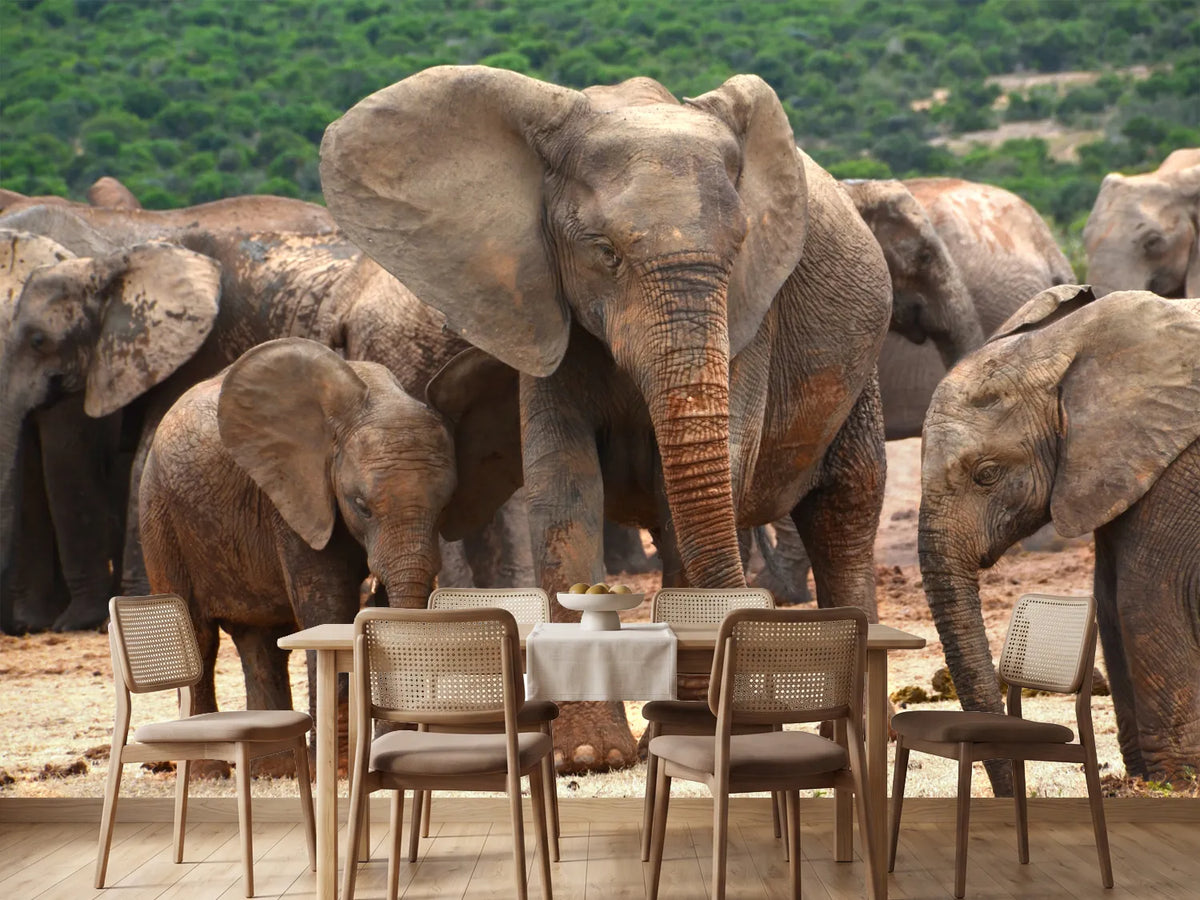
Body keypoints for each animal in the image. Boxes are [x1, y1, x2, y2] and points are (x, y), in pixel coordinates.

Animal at [140, 337, 522, 736]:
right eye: (361, 506)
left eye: (445, 506)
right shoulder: (296, 499)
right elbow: (328, 608)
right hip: (159, 510)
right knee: (198, 636)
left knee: (260, 642)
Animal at [321, 66, 892, 770]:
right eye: (604, 252)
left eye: (739, 249)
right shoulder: (538, 303)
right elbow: (564, 494)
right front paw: (589, 756)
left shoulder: (752, 315)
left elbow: (701, 492)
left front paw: (671, 737)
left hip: (860, 373)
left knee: (845, 512)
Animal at [918, 284, 1200, 794]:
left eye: (986, 474)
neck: (1067, 345)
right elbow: (1108, 599)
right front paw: (1144, 780)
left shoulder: (1179, 465)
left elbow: (1147, 596)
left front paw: (1174, 783)